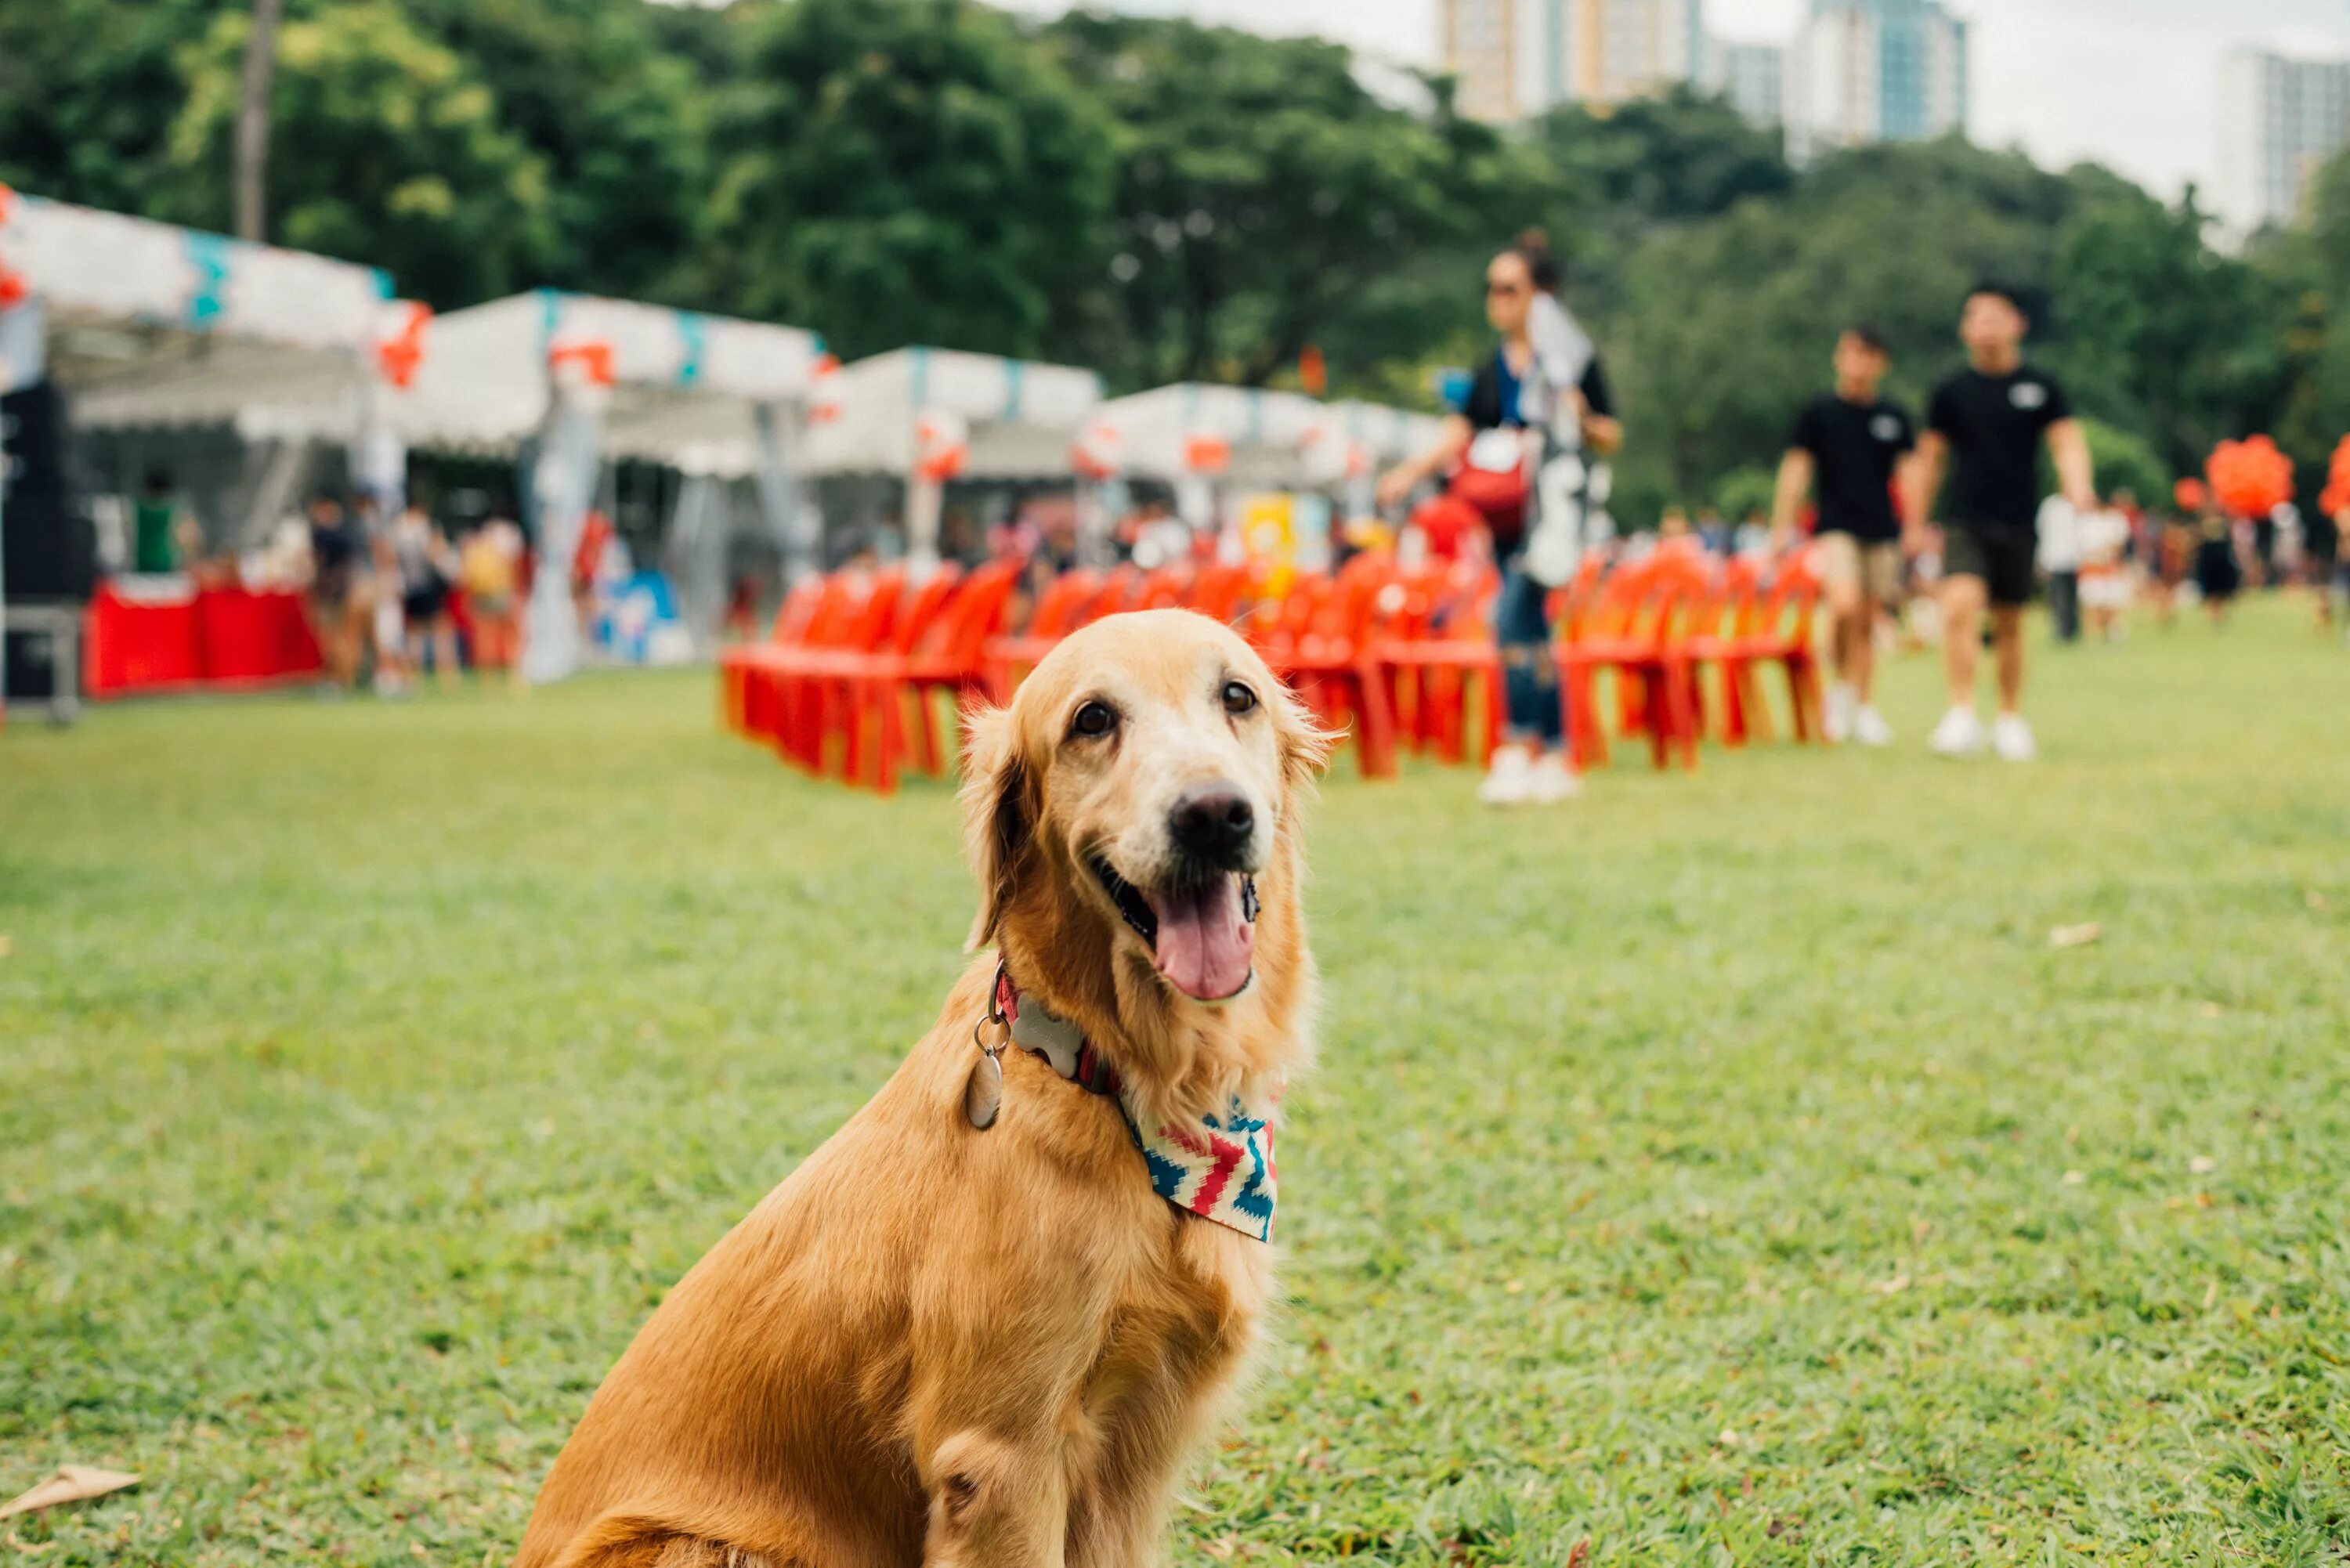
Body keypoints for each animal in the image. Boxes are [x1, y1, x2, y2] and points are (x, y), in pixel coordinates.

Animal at [519, 606, 1325, 1560]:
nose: (1212, 815)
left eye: (1238, 696)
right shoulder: (1001, 1456)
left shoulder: (1131, 1462)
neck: (1116, 1081)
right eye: (1093, 719)